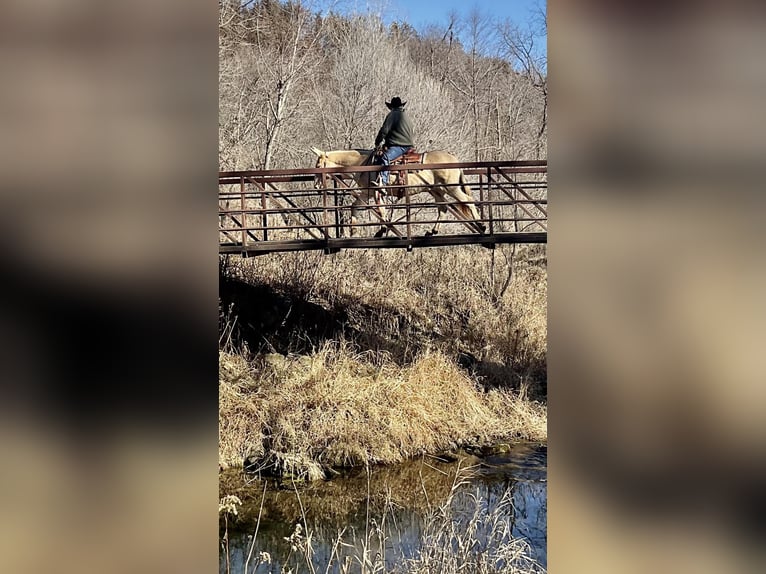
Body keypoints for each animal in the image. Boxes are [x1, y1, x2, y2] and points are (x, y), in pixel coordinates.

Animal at [310, 151, 486, 238]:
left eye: (318, 165)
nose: (316, 185)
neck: (361, 164)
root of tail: (454, 158)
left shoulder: (375, 191)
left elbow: (380, 211)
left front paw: (382, 229)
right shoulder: (368, 193)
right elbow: (356, 207)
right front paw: (354, 230)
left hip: (451, 188)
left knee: (468, 200)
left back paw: (481, 225)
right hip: (436, 190)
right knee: (442, 209)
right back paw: (432, 231)